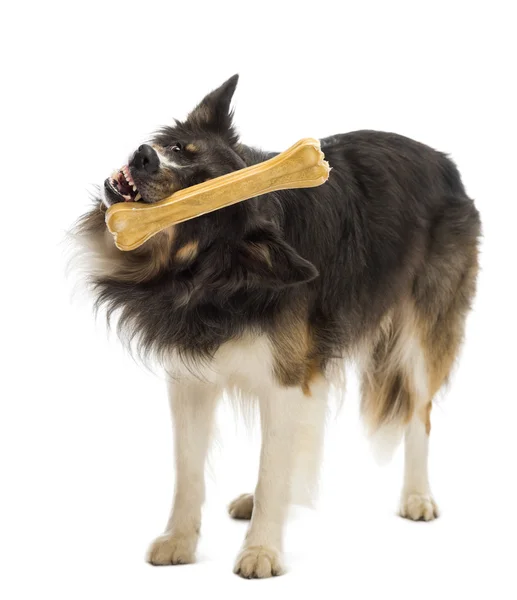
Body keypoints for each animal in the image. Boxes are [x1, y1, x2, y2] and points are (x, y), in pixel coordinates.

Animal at [71, 74, 480, 576]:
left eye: (197, 200)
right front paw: (180, 540)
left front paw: (262, 550)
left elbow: (272, 467)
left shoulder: (285, 379)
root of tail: (444, 160)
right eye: (178, 147)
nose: (145, 155)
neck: (216, 279)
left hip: (421, 336)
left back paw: (417, 496)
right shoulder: (192, 380)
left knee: (418, 412)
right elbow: (189, 469)